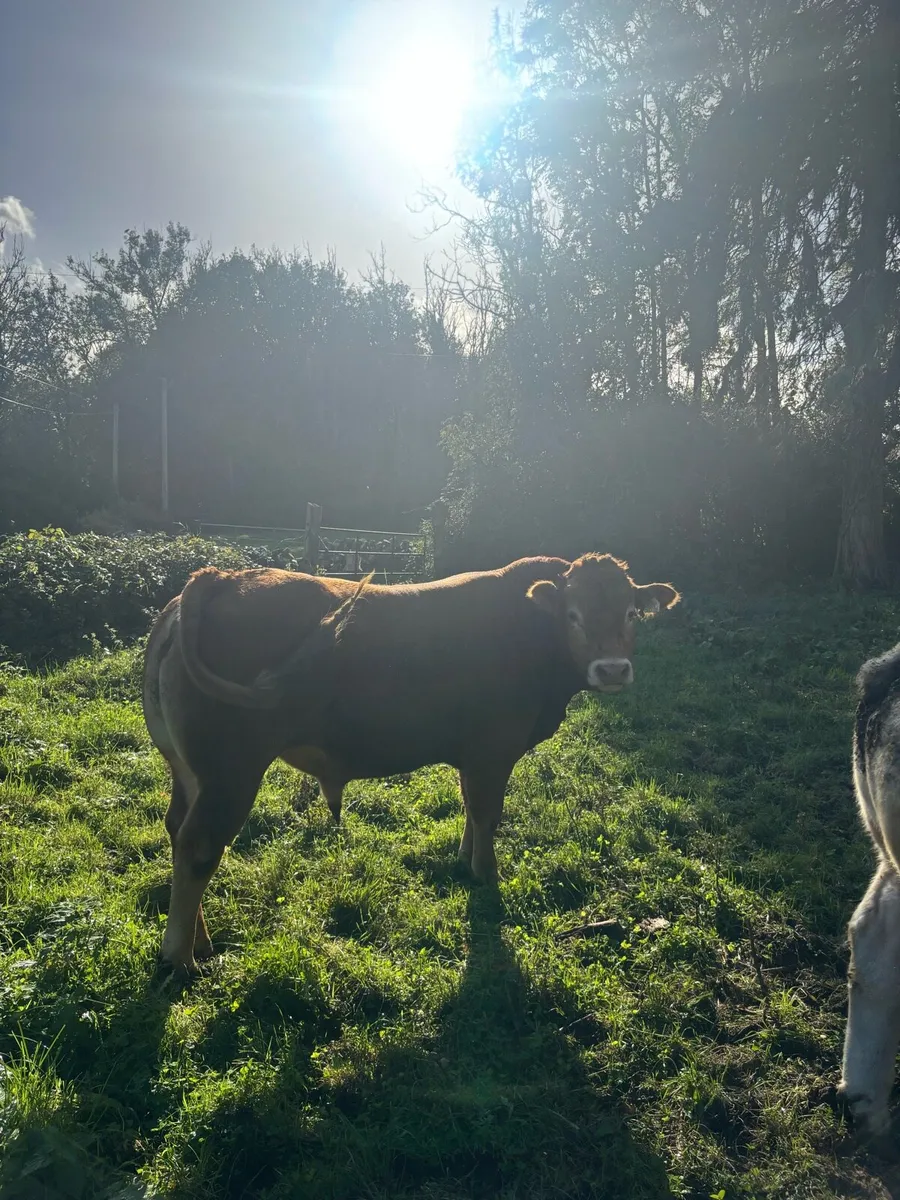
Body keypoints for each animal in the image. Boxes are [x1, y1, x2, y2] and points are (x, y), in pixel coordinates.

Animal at [142, 553, 680, 973]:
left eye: (632, 613)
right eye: (572, 615)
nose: (612, 669)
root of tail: (215, 578)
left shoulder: (473, 755)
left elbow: (470, 809)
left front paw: (465, 861)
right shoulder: (494, 749)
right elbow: (487, 814)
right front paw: (486, 875)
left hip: (189, 772)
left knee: (176, 829)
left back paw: (198, 941)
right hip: (231, 771)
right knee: (199, 846)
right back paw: (180, 958)